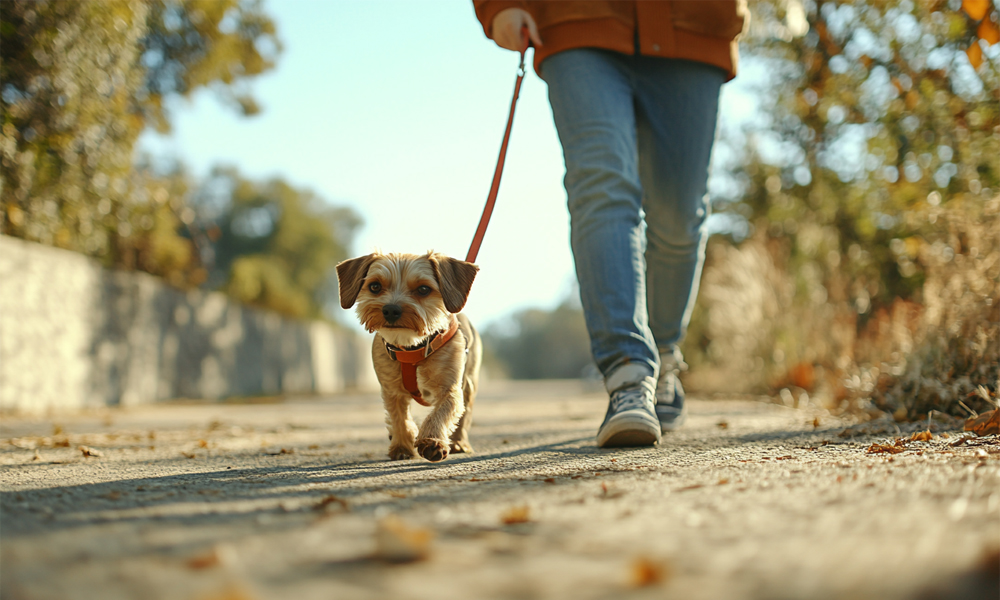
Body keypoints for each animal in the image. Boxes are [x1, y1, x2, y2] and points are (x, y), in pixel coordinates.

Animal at [336, 251, 484, 462]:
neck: (411, 347)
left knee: (465, 416)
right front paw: (402, 445)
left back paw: (459, 443)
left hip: (470, 383)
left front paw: (432, 441)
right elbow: (400, 418)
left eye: (423, 289)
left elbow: (441, 413)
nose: (391, 309)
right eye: (375, 286)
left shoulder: (451, 389)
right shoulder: (392, 391)